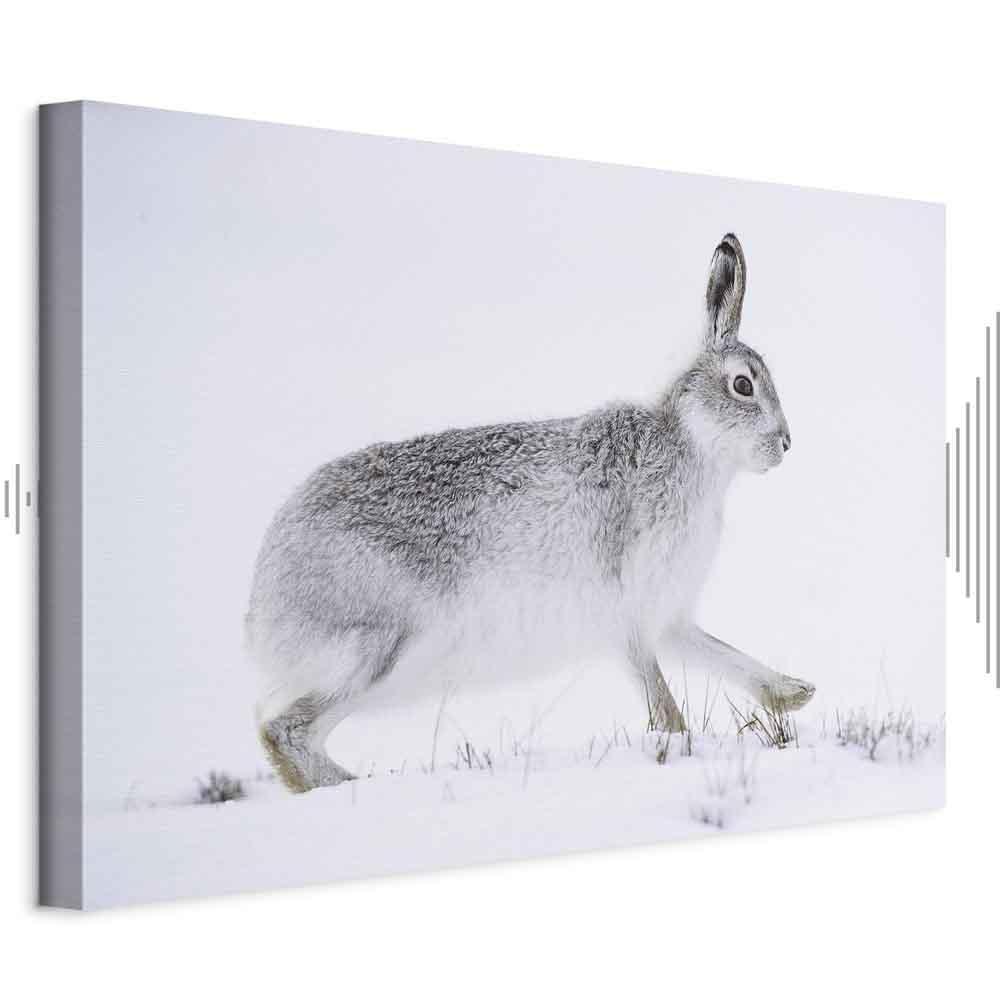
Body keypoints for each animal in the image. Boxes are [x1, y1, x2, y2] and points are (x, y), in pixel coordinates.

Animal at [246, 233, 815, 793]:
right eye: (743, 385)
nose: (786, 443)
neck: (691, 445)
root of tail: (264, 596)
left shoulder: (668, 615)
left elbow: (720, 653)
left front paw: (794, 694)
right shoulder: (630, 610)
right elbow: (661, 697)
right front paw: (679, 744)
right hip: (379, 649)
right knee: (283, 732)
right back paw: (354, 785)